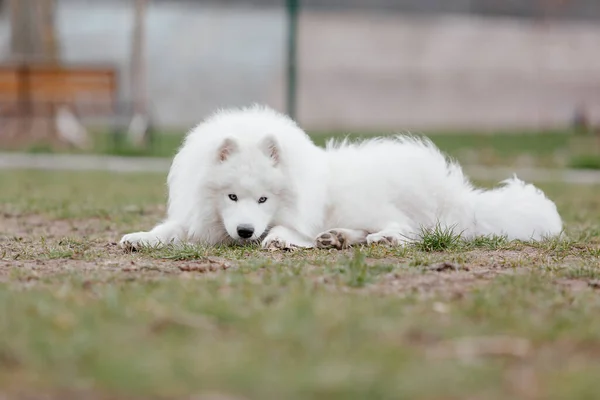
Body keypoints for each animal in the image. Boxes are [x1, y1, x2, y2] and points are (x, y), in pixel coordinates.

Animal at [120, 104, 564, 252]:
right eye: (231, 197)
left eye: (263, 200)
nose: (245, 232)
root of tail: (457, 191)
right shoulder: (198, 218)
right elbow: (168, 229)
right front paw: (138, 238)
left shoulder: (298, 215)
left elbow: (288, 229)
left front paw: (278, 239)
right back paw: (338, 238)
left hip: (373, 200)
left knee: (415, 229)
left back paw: (382, 239)